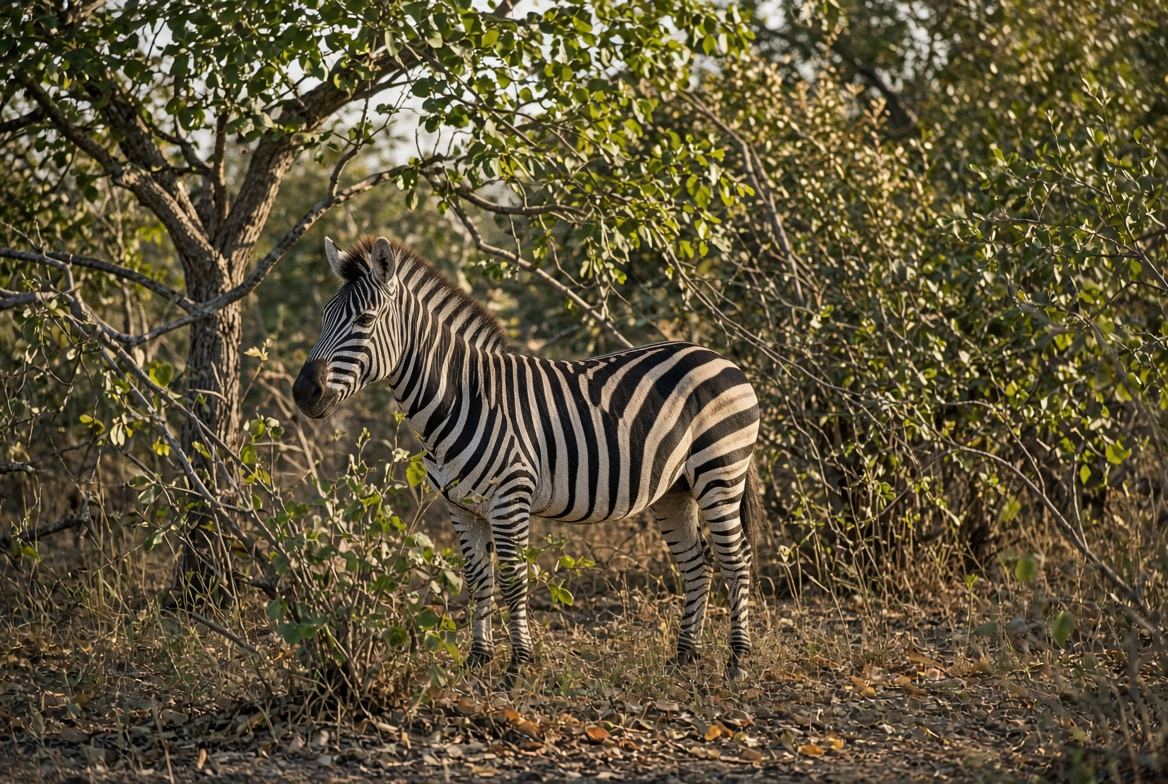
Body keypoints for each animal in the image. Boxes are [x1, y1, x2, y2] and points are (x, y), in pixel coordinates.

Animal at [293, 236, 762, 681]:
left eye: (365, 320)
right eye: (323, 317)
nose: (303, 393)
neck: (460, 397)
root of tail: (718, 356)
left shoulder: (510, 498)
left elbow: (513, 580)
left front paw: (518, 665)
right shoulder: (460, 507)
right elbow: (478, 581)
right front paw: (477, 660)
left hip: (720, 471)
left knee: (735, 557)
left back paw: (737, 660)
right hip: (674, 490)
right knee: (697, 561)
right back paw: (685, 657)